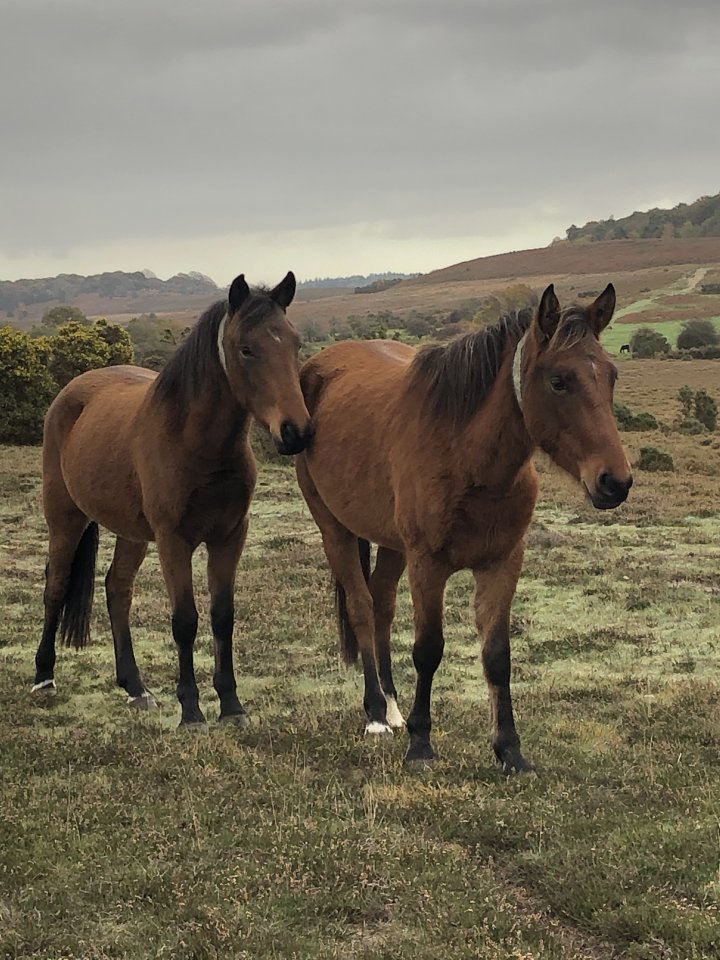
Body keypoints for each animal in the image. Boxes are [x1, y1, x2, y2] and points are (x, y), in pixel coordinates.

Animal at [33, 272, 313, 727]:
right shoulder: (173, 541)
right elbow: (185, 620)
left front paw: (231, 705)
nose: (296, 432)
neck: (195, 442)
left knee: (117, 590)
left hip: (131, 533)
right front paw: (192, 710)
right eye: (246, 348)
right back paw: (43, 678)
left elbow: (222, 616)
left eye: (294, 342)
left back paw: (135, 687)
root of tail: (71, 392)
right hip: (65, 518)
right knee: (55, 585)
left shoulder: (229, 536)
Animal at [295, 284, 632, 773]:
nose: (615, 481)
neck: (467, 458)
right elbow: (428, 649)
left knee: (381, 604)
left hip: (392, 543)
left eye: (611, 375)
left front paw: (510, 749)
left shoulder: (502, 562)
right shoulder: (427, 564)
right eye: (559, 380)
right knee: (361, 606)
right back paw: (376, 714)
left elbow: (497, 655)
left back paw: (392, 707)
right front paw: (421, 745)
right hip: (334, 529)